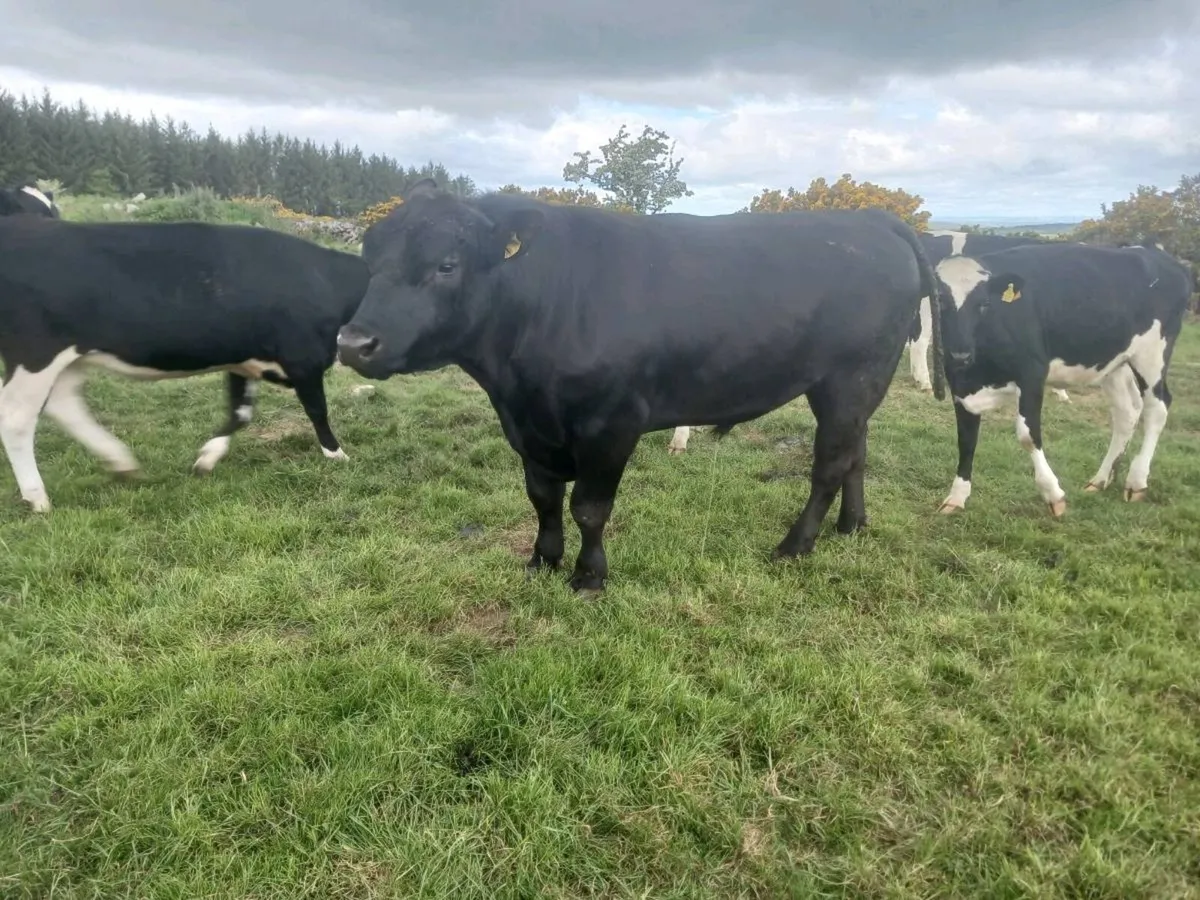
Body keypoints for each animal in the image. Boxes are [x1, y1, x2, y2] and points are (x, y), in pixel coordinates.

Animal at [0, 216, 370, 512]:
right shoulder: (303, 359)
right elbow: (317, 410)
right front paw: (337, 455)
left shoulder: (243, 360)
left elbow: (240, 413)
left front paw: (208, 456)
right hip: (35, 354)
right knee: (16, 419)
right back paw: (37, 498)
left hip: (69, 360)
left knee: (64, 405)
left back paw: (121, 462)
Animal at [335, 178, 945, 593]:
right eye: (370, 257)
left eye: (447, 264)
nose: (353, 342)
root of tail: (872, 221)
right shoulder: (529, 426)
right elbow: (543, 498)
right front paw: (541, 561)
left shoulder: (612, 421)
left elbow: (589, 507)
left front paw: (588, 577)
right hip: (853, 386)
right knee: (856, 452)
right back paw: (851, 526)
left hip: (850, 377)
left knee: (829, 465)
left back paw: (795, 546)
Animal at [933, 241, 1192, 518]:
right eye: (940, 300)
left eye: (983, 304)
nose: (960, 354)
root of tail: (1157, 254)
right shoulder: (961, 387)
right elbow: (966, 440)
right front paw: (956, 497)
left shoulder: (1032, 374)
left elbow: (1027, 436)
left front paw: (1053, 494)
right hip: (1115, 362)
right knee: (1127, 412)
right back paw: (1101, 479)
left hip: (1153, 354)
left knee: (1157, 407)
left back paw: (1136, 481)